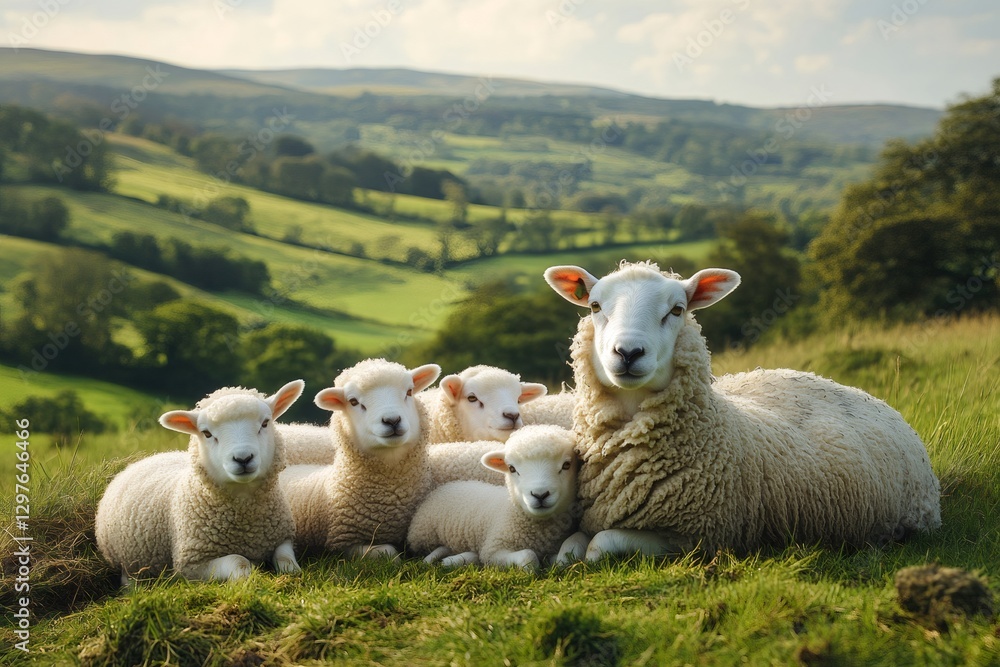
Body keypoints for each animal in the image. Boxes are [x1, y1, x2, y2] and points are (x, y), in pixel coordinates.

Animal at [95, 380, 305, 583]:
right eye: (206, 433)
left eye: (265, 423)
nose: (243, 458)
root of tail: (150, 458)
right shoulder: (190, 565)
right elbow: (238, 560)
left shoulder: (283, 537)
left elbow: (285, 557)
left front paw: (293, 572)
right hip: (127, 562)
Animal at [407, 425, 582, 569]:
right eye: (512, 468)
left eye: (567, 465)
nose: (540, 494)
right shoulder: (493, 550)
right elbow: (528, 555)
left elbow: (564, 557)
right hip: (424, 536)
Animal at [544, 261, 942, 560]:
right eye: (595, 306)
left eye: (678, 309)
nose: (628, 352)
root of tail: (871, 397)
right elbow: (570, 547)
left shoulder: (694, 538)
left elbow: (600, 543)